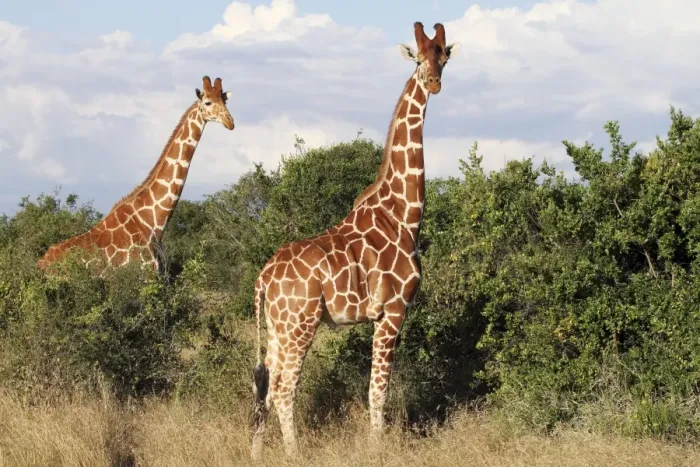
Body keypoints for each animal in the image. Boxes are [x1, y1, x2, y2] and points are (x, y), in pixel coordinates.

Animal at [37, 76, 234, 272]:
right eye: (208, 102)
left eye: (224, 101)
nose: (230, 122)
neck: (153, 224)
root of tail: (41, 262)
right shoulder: (145, 274)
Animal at [250, 22, 459, 459]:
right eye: (419, 59)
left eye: (444, 58)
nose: (433, 83)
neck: (404, 214)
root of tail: (263, 278)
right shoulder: (393, 310)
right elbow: (378, 390)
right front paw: (378, 449)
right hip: (301, 323)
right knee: (284, 389)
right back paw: (295, 454)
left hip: (277, 327)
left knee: (265, 388)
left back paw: (256, 454)